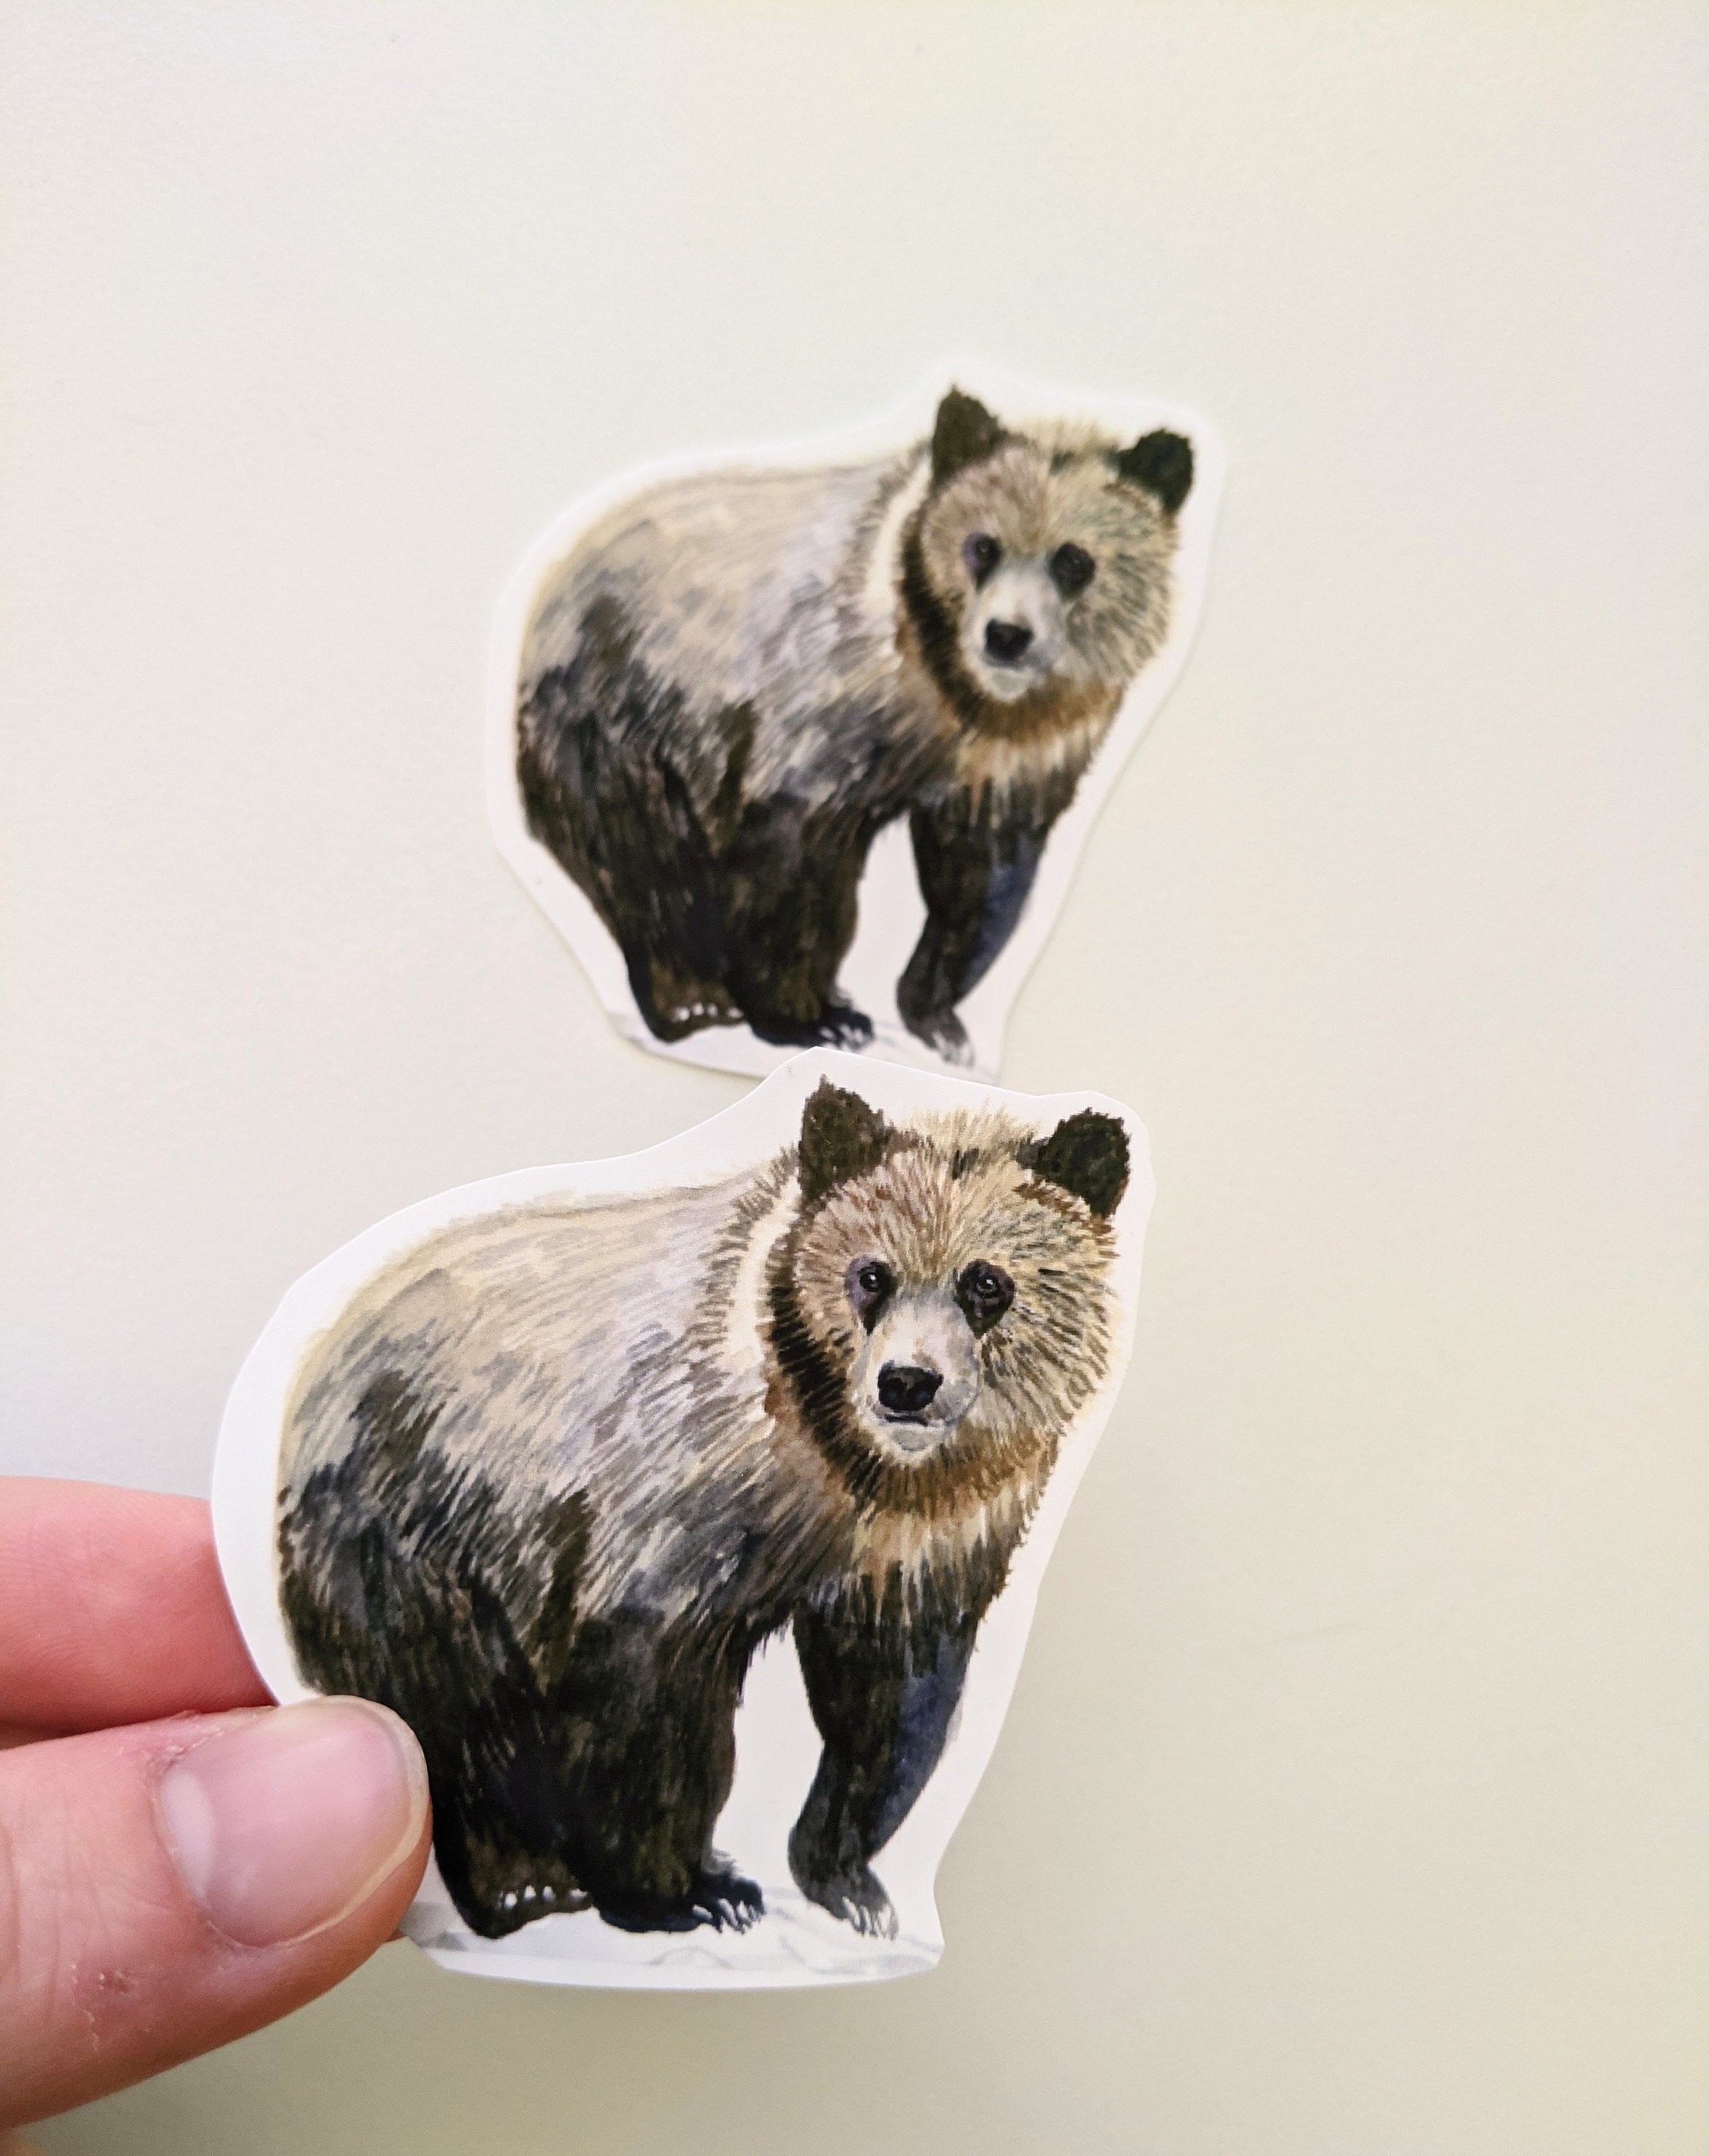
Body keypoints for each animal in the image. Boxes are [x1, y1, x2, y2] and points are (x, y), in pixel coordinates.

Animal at [276, 1077, 1130, 1943]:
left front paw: (848, 1883)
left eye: (985, 1282)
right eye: (871, 1275)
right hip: (411, 1518)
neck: (845, 1462)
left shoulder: (922, 1543)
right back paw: (524, 1882)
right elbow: (647, 1692)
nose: (906, 1384)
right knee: (454, 1707)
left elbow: (894, 1701)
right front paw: (682, 1892)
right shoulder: (671, 1494)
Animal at [514, 388, 1193, 1063]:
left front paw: (937, 1021)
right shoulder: (820, 705)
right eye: (983, 546)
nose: (1006, 636)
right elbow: (790, 858)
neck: (954, 691)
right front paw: (811, 1018)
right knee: (646, 860)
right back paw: (694, 1000)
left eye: (1072, 560)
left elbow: (983, 875)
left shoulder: (1013, 758)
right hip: (618, 712)